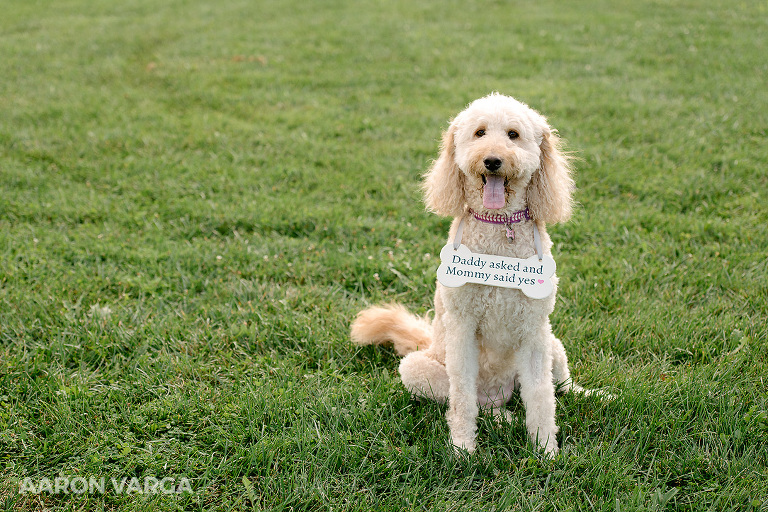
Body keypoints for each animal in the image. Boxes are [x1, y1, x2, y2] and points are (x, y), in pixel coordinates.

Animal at [352, 93, 592, 456]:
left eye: (513, 135)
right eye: (479, 133)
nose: (492, 161)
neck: (499, 228)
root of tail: (499, 393)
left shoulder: (534, 330)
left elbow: (541, 394)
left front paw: (545, 449)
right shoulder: (463, 328)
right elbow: (463, 396)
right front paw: (463, 447)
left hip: (553, 343)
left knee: (562, 386)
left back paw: (595, 395)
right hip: (417, 369)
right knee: (477, 403)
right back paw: (501, 419)